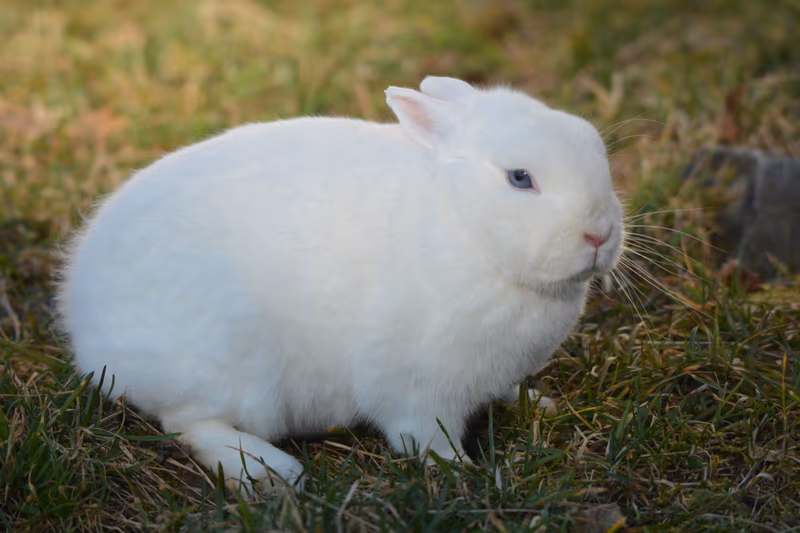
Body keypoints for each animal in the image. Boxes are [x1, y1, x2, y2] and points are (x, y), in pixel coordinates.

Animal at [56, 76, 623, 493]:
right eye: (520, 178)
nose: (600, 233)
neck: (466, 225)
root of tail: (88, 334)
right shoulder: (416, 387)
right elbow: (425, 436)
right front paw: (463, 472)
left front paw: (537, 404)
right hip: (228, 372)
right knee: (191, 424)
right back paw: (271, 471)